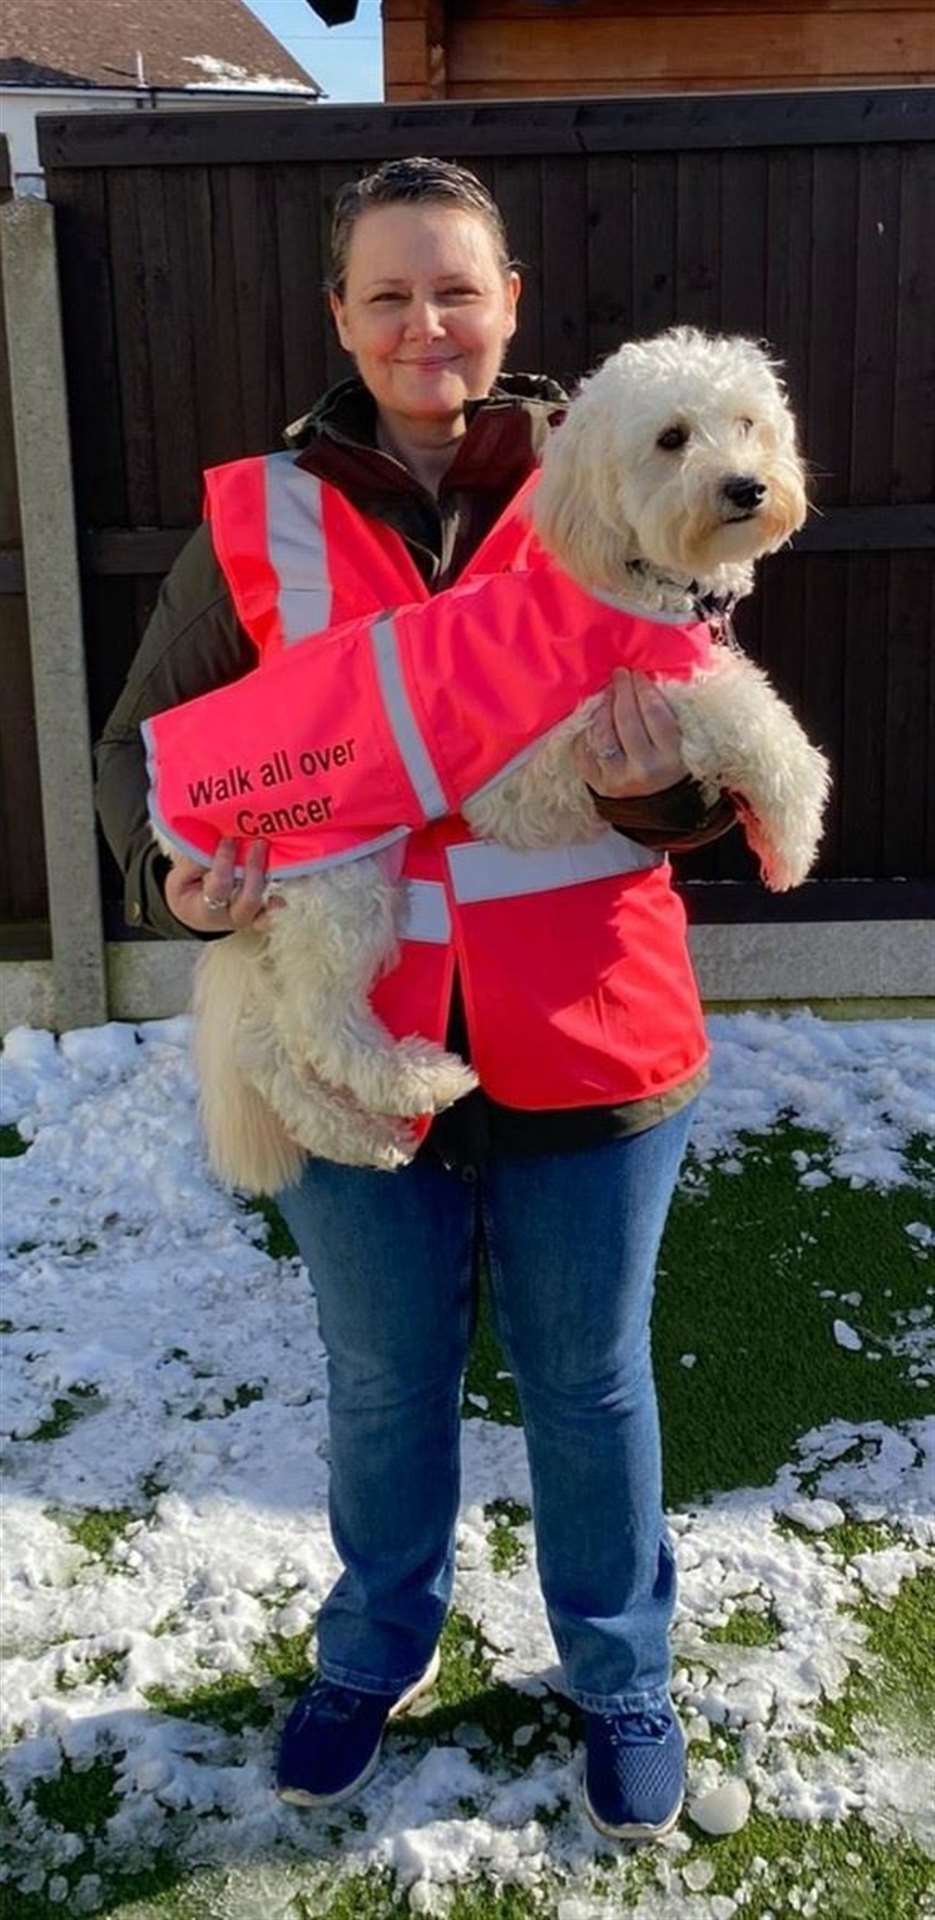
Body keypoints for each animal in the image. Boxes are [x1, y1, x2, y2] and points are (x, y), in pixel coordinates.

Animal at [166, 337, 825, 1190]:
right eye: (670, 438)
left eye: (747, 423)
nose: (746, 486)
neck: (624, 571)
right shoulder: (583, 725)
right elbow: (759, 721)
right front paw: (791, 842)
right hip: (339, 882)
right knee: (317, 1025)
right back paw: (418, 1081)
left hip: (306, 899)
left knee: (271, 1046)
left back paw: (363, 1136)